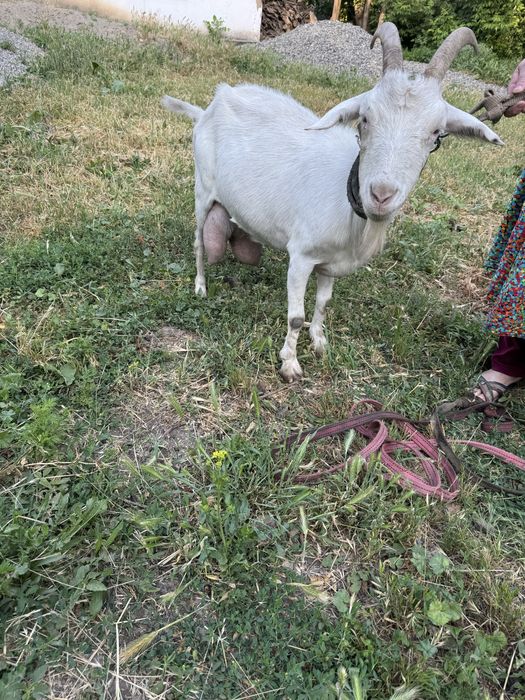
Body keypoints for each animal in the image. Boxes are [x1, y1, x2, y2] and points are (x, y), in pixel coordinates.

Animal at [162, 24, 502, 382]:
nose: (381, 195)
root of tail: (210, 106)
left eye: (437, 134)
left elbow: (324, 303)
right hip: (202, 188)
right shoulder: (301, 256)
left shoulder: (331, 264)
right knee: (199, 242)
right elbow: (296, 316)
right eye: (364, 119)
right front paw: (290, 364)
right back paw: (201, 286)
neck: (348, 202)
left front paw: (320, 342)